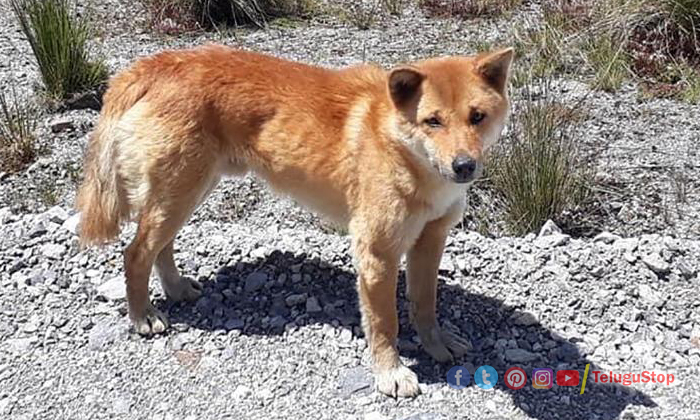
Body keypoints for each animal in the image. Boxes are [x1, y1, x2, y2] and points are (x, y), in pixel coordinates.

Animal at [76, 45, 516, 398]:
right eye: (432, 121)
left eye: (477, 117)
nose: (464, 166)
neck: (404, 152)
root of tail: (156, 63)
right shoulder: (377, 253)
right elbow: (384, 323)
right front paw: (390, 373)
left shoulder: (430, 241)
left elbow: (425, 305)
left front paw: (436, 346)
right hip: (178, 194)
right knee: (136, 254)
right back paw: (143, 316)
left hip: (186, 193)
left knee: (160, 248)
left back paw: (176, 288)